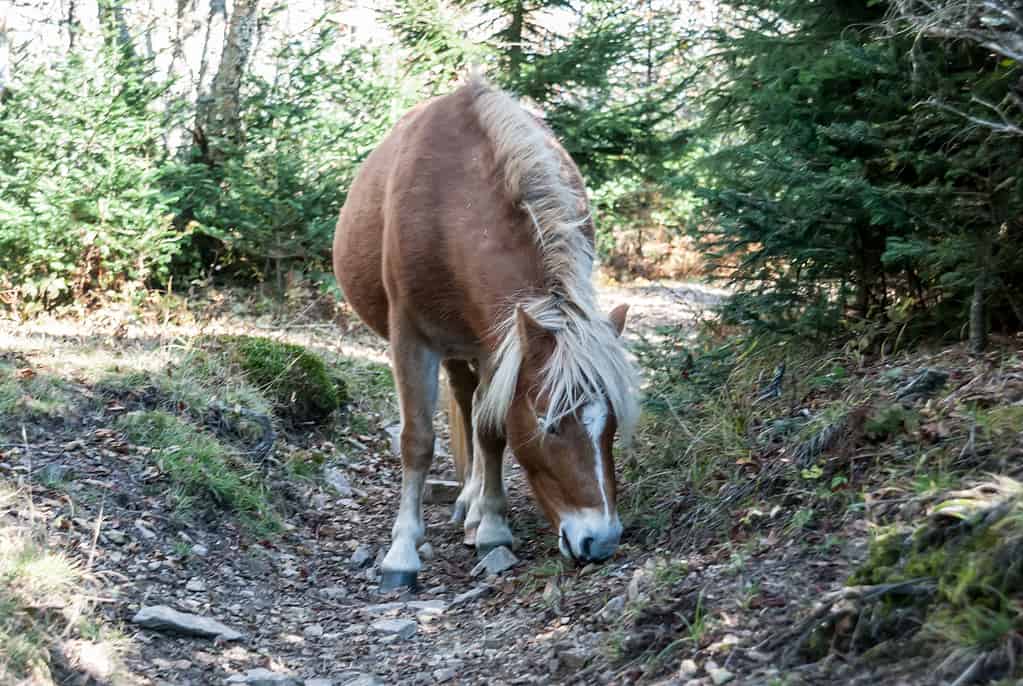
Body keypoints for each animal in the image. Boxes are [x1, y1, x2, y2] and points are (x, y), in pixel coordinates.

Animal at [332, 74, 640, 592]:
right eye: (550, 423)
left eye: (612, 426)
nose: (600, 541)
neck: (451, 200)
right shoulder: (411, 338)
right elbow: (418, 440)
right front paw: (401, 551)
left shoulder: (500, 341)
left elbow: (492, 429)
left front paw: (493, 526)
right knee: (462, 398)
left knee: (475, 408)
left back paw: (474, 509)